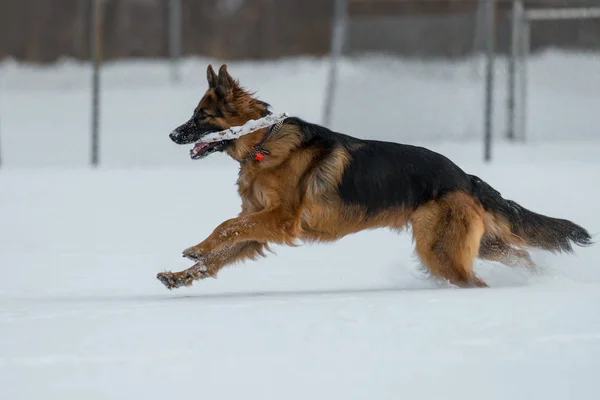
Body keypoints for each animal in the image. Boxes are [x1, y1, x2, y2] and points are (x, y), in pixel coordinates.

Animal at [156, 65, 592, 290]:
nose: (172, 136)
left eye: (200, 117)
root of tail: (466, 177)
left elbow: (226, 226)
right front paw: (183, 274)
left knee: (478, 281)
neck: (262, 140)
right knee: (521, 255)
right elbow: (222, 251)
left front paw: (196, 247)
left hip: (440, 252)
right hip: (477, 244)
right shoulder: (260, 226)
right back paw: (545, 282)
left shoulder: (279, 221)